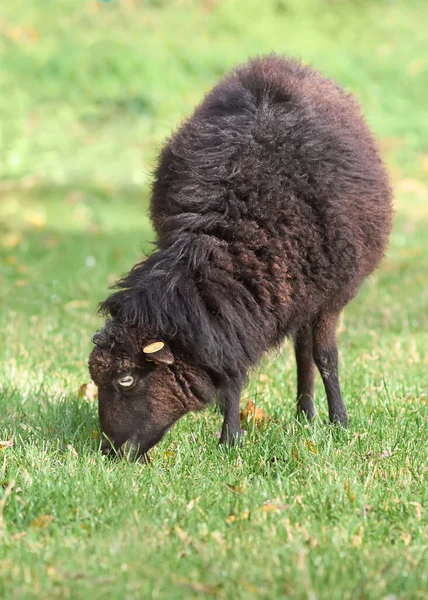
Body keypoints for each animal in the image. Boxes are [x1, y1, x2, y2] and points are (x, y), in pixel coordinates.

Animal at [88, 55, 392, 460]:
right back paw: (303, 414)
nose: (110, 452)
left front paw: (340, 423)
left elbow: (327, 357)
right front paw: (231, 438)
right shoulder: (228, 315)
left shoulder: (331, 296)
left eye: (126, 379)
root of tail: (275, 62)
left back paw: (309, 415)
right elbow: (231, 373)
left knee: (308, 353)